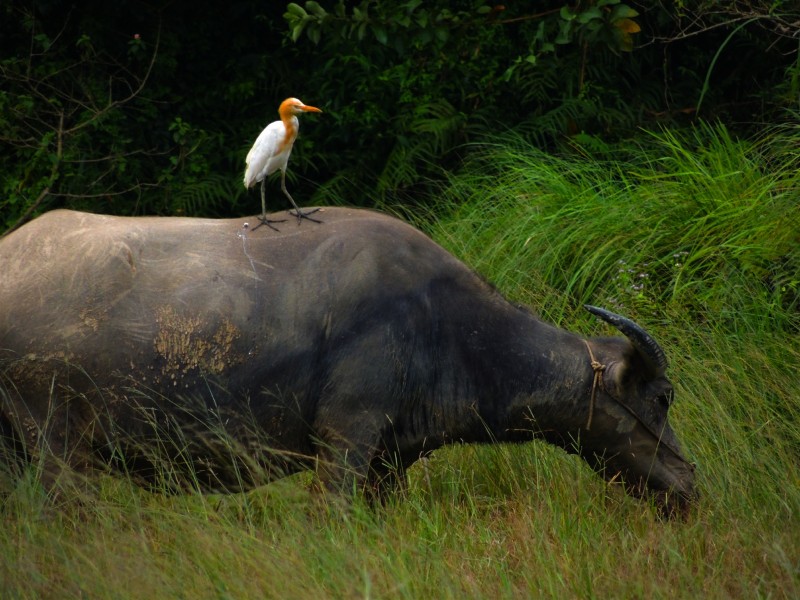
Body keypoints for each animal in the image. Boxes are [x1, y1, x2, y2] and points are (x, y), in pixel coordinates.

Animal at [0, 207, 692, 516]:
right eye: (661, 397)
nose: (689, 484)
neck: (444, 325)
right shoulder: (346, 440)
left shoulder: (390, 462)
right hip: (54, 440)